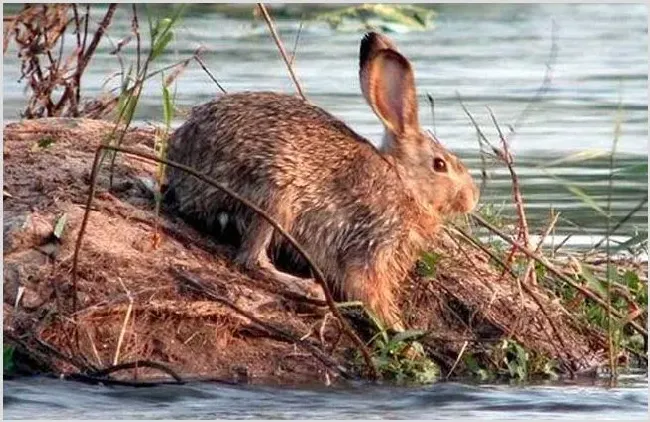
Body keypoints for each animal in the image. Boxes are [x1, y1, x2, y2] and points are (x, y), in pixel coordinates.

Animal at [165, 31, 478, 332]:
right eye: (439, 165)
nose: (473, 197)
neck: (403, 181)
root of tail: (182, 178)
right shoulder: (372, 241)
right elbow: (366, 289)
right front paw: (401, 332)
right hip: (275, 196)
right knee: (250, 259)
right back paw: (308, 288)